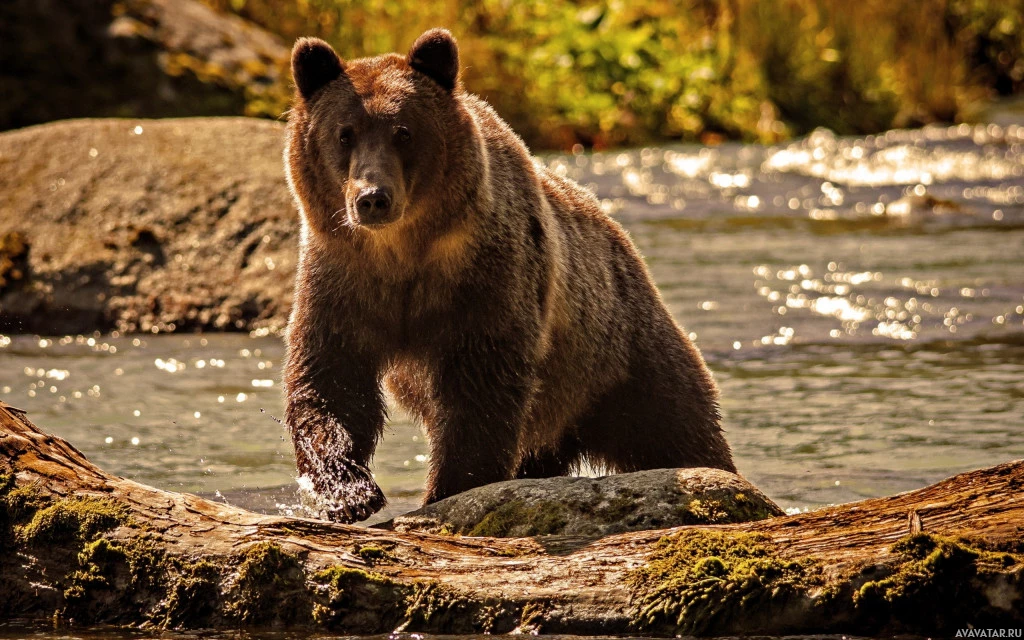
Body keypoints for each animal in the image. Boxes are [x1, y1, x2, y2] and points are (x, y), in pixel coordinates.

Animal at [278, 27, 737, 522]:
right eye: (344, 134)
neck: (402, 252)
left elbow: (481, 387)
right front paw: (348, 491)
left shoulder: (487, 278)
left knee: (676, 424)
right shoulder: (343, 277)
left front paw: (448, 488)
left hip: (618, 354)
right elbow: (332, 377)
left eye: (403, 131)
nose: (373, 198)